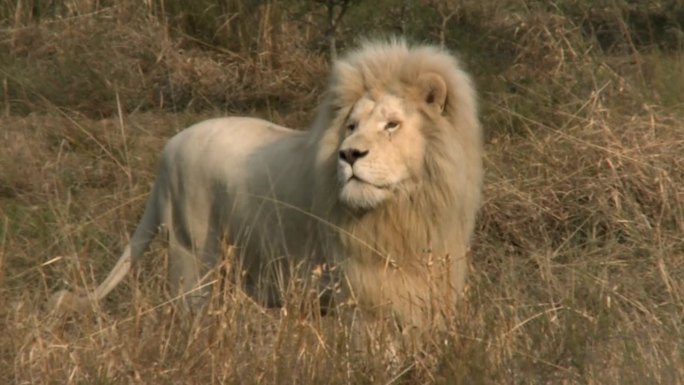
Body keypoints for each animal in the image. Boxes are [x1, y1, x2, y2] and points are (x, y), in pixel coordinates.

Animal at [50, 40, 484, 330]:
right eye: (351, 126)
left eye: (392, 124)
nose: (349, 155)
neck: (407, 208)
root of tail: (169, 147)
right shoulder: (362, 292)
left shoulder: (429, 284)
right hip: (192, 256)